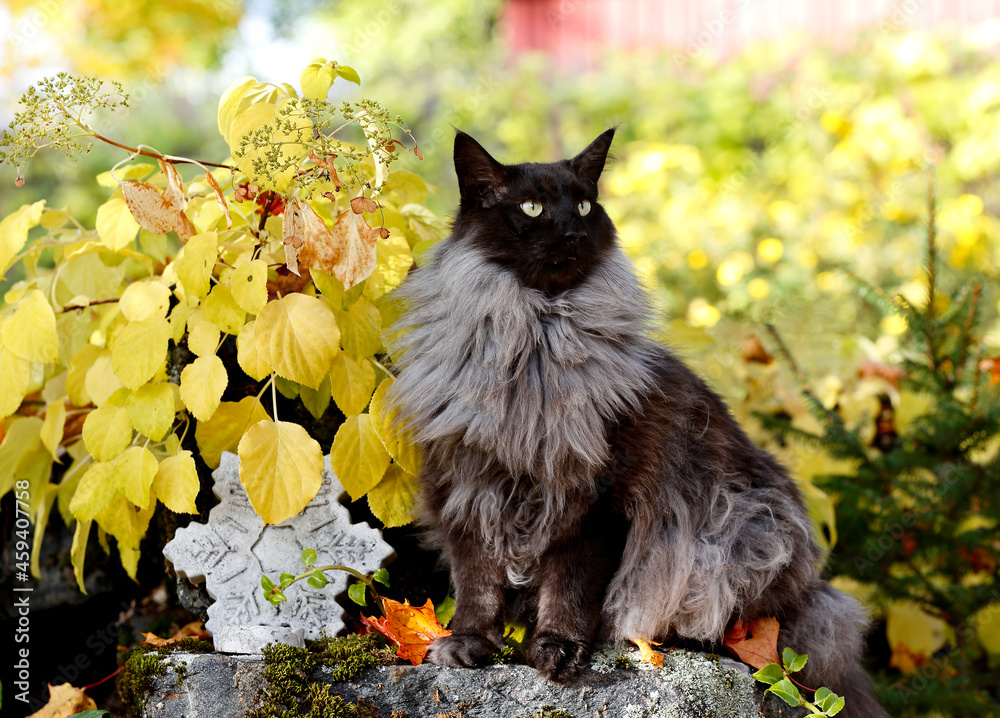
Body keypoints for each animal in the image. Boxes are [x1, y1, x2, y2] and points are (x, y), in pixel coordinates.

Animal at [386, 131, 888, 718]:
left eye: (583, 205)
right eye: (531, 208)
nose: (574, 232)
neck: (538, 339)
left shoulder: (594, 501)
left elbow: (569, 588)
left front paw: (556, 650)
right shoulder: (467, 484)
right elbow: (476, 584)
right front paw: (469, 645)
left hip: (745, 531)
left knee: (752, 628)